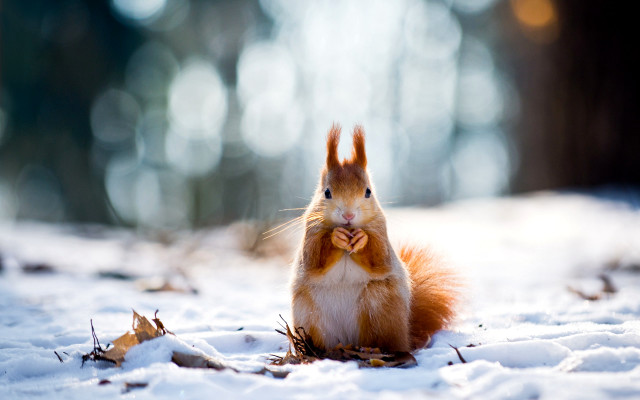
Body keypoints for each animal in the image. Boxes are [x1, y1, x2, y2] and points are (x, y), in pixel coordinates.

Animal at [291, 124, 458, 352]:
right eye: (327, 192)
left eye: (368, 191)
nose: (348, 216)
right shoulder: (311, 233)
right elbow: (314, 258)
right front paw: (336, 237)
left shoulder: (381, 232)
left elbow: (379, 257)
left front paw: (362, 239)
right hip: (309, 315)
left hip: (379, 306)